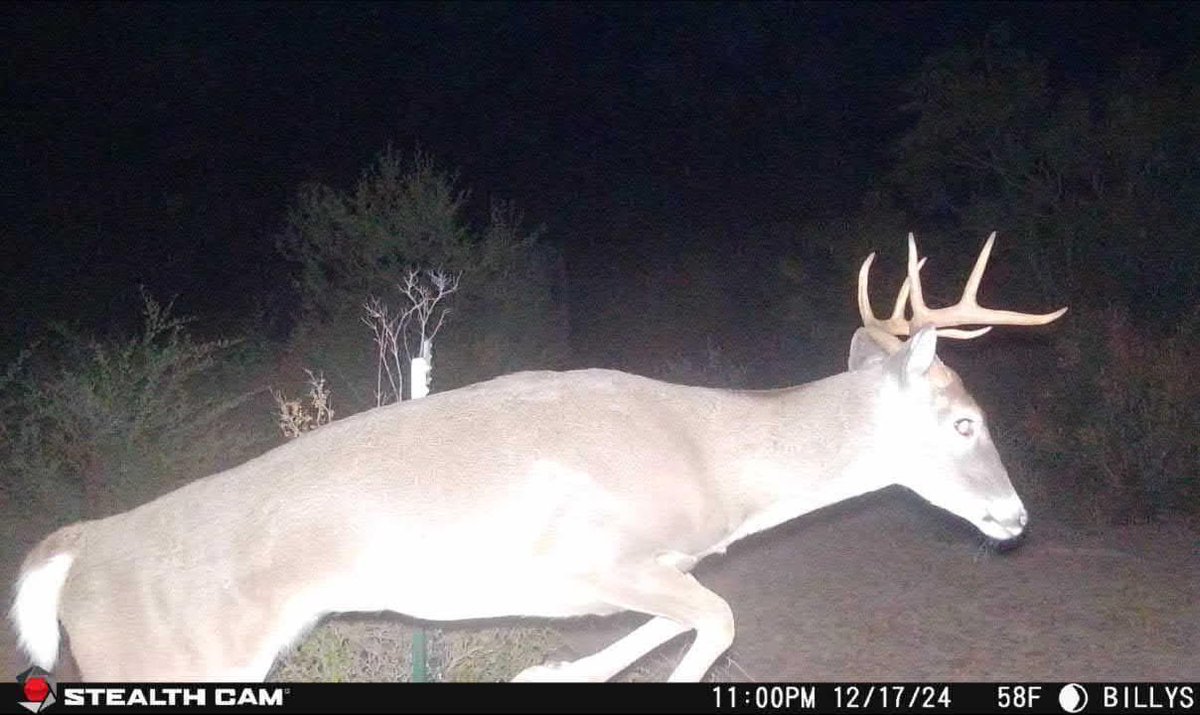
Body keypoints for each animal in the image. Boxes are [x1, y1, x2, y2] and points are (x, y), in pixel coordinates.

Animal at [10, 232, 1066, 682]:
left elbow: (680, 618)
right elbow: (719, 619)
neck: (718, 461)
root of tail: (80, 548)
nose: (1017, 517)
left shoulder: (630, 572)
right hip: (158, 655)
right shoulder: (592, 557)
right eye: (966, 422)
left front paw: (550, 676)